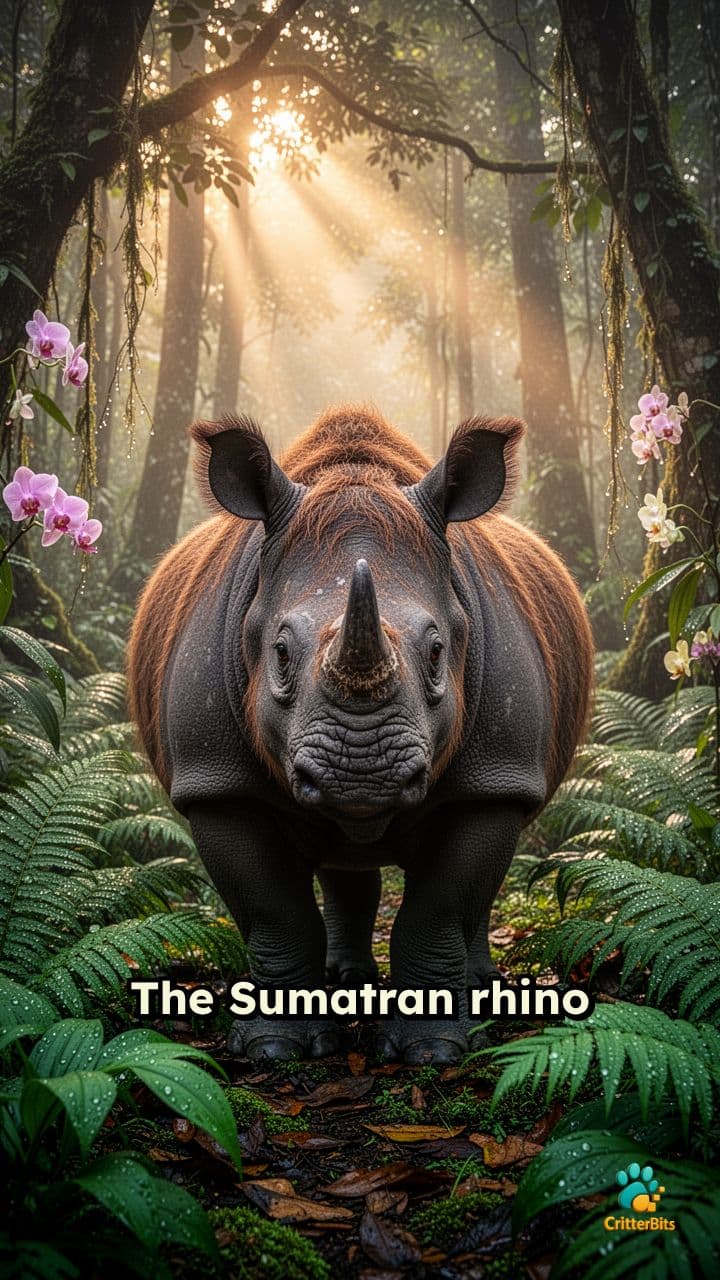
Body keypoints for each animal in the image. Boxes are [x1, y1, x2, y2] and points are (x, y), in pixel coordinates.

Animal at [128, 405, 593, 1064]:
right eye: (279, 653)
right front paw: (275, 1049)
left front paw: (434, 1052)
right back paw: (344, 982)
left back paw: (477, 988)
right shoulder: (218, 783)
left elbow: (440, 909)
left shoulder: (494, 778)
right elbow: (275, 913)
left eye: (437, 652)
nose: (361, 770)